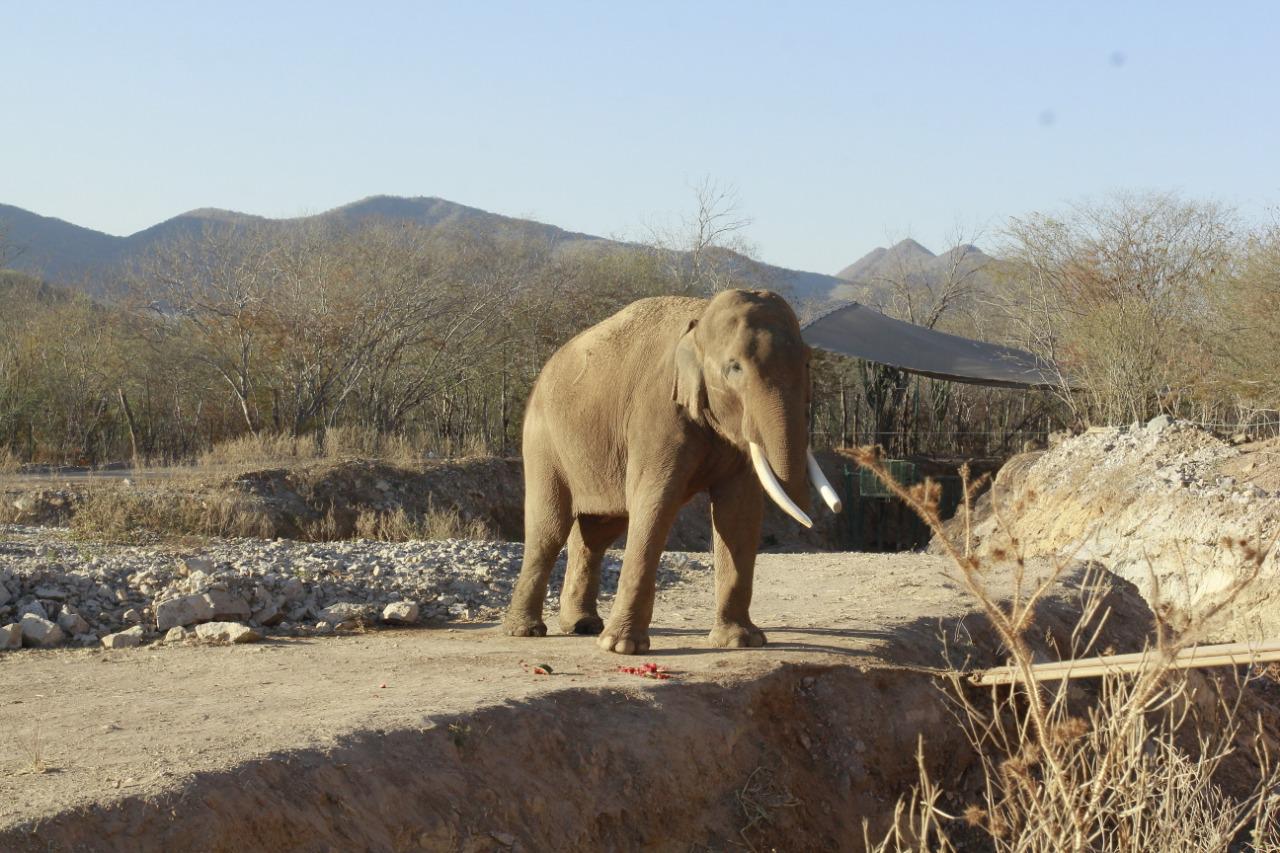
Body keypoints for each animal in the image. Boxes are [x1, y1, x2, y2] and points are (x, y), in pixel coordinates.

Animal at [501, 289, 842, 654]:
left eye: (807, 362)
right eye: (734, 368)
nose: (825, 516)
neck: (700, 321)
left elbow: (740, 511)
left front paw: (742, 640)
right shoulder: (656, 414)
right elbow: (656, 503)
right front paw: (622, 648)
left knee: (598, 532)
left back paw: (583, 626)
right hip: (543, 446)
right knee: (549, 530)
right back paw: (526, 630)